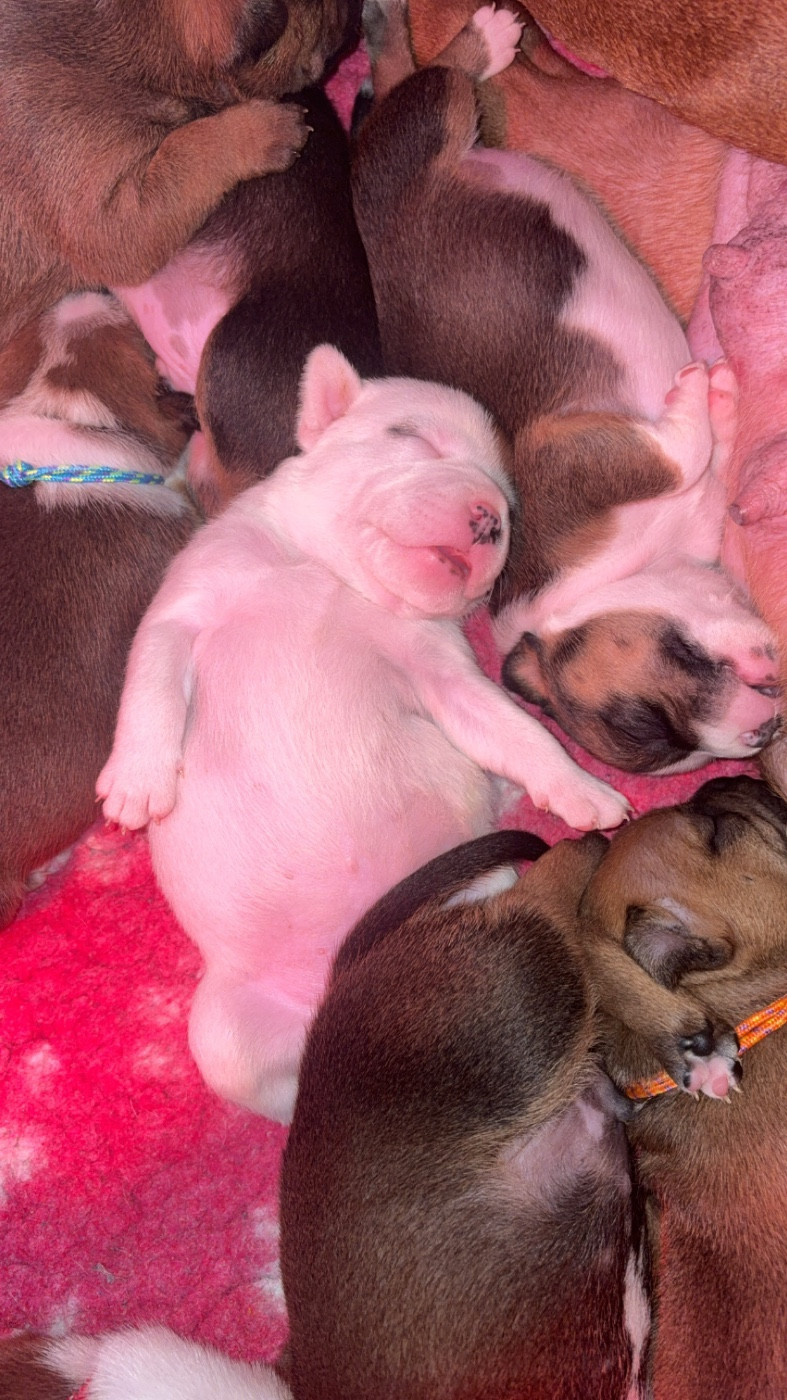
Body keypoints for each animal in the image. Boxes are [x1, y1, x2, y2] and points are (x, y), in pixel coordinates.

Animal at [97, 344, 632, 1123]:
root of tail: (342, 975)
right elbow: (150, 687)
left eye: (510, 504)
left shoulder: (443, 671)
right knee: (281, 1088)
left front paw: (576, 786)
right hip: (226, 1035)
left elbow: (511, 729)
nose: (488, 519)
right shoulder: (183, 607)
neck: (333, 573)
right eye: (408, 437)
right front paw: (138, 783)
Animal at [352, 3, 780, 776]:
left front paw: (709, 395)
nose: (764, 733)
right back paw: (483, 36)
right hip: (422, 130)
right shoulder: (581, 458)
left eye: (645, 718)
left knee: (428, 75)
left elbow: (685, 452)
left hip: (422, 128)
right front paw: (712, 394)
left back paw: (476, 35)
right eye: (666, 743)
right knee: (428, 76)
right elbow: (682, 453)